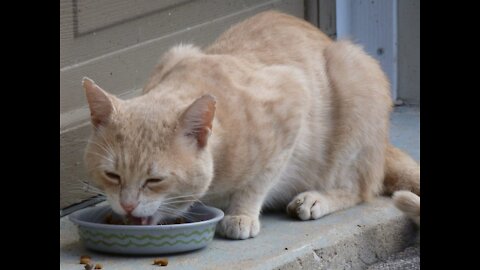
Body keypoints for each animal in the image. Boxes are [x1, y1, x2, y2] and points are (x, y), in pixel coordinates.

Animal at [82, 10, 420, 239]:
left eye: (155, 180)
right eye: (112, 175)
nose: (127, 206)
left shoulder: (293, 100)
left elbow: (258, 181)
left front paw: (240, 215)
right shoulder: (175, 52)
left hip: (354, 79)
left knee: (360, 188)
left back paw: (316, 198)